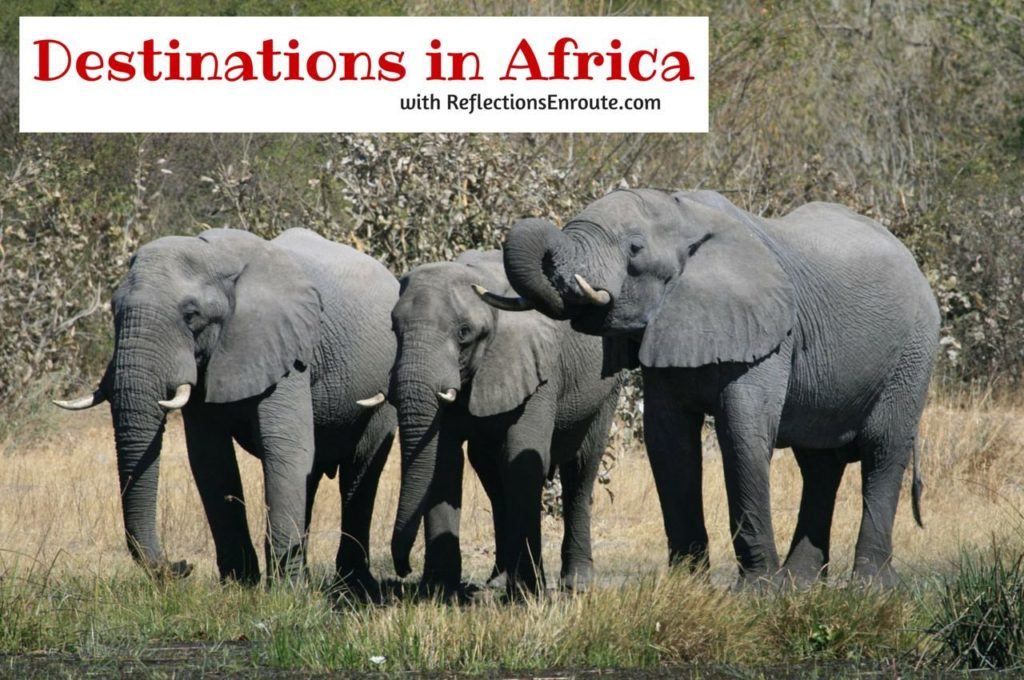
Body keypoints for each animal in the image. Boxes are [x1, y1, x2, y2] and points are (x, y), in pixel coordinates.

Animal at [54, 227, 398, 594]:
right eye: (114, 309)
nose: (181, 566)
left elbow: (284, 448)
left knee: (359, 470)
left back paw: (351, 586)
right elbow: (211, 461)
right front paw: (239, 587)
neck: (216, 257)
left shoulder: (287, 351)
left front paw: (285, 595)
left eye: (191, 314)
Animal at [382, 249, 622, 597]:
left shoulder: (538, 369)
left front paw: (526, 591)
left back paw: (574, 585)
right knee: (490, 474)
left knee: (581, 467)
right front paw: (438, 591)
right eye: (394, 329)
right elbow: (445, 464)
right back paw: (497, 582)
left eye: (464, 333)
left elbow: (522, 460)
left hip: (608, 384)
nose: (404, 569)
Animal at [477, 188, 940, 587]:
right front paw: (687, 588)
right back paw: (801, 584)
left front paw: (758, 593)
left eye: (634, 248)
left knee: (883, 449)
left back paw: (868, 589)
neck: (688, 216)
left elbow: (742, 434)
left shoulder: (768, 335)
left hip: (913, 354)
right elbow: (668, 443)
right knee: (819, 464)